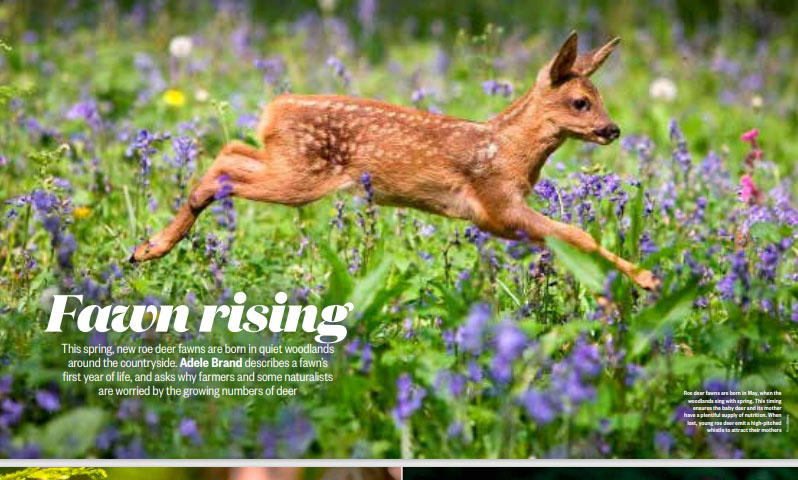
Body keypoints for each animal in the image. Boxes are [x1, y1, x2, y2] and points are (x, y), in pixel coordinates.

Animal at [131, 31, 659, 291]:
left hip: (289, 162)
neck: (509, 150)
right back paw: (150, 247)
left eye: (600, 97)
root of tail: (274, 108)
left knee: (230, 151)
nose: (612, 130)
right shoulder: (495, 206)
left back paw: (150, 245)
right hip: (303, 176)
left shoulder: (498, 216)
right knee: (227, 167)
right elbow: (577, 234)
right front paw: (645, 280)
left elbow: (568, 238)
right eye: (580, 103)